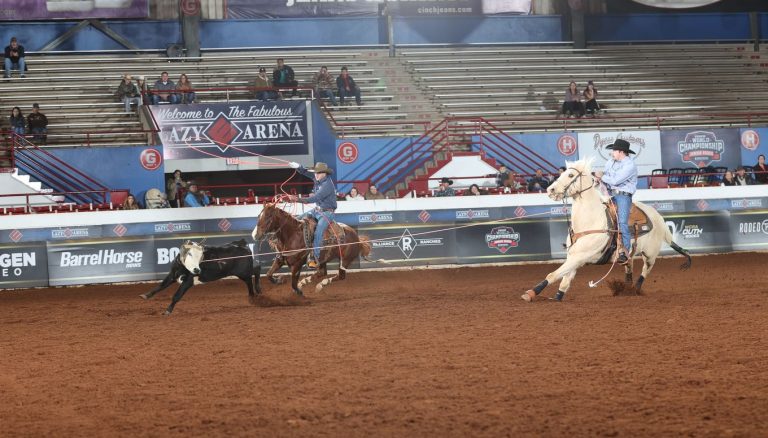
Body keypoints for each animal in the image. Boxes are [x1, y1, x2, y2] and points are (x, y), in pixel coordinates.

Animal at [520, 159, 688, 302]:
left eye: (570, 175)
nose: (550, 189)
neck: (590, 221)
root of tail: (658, 217)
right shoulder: (574, 257)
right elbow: (564, 281)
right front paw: (557, 297)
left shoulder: (579, 257)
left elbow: (553, 275)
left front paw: (530, 293)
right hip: (630, 254)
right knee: (629, 268)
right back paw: (627, 289)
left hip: (650, 254)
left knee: (645, 271)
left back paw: (635, 289)